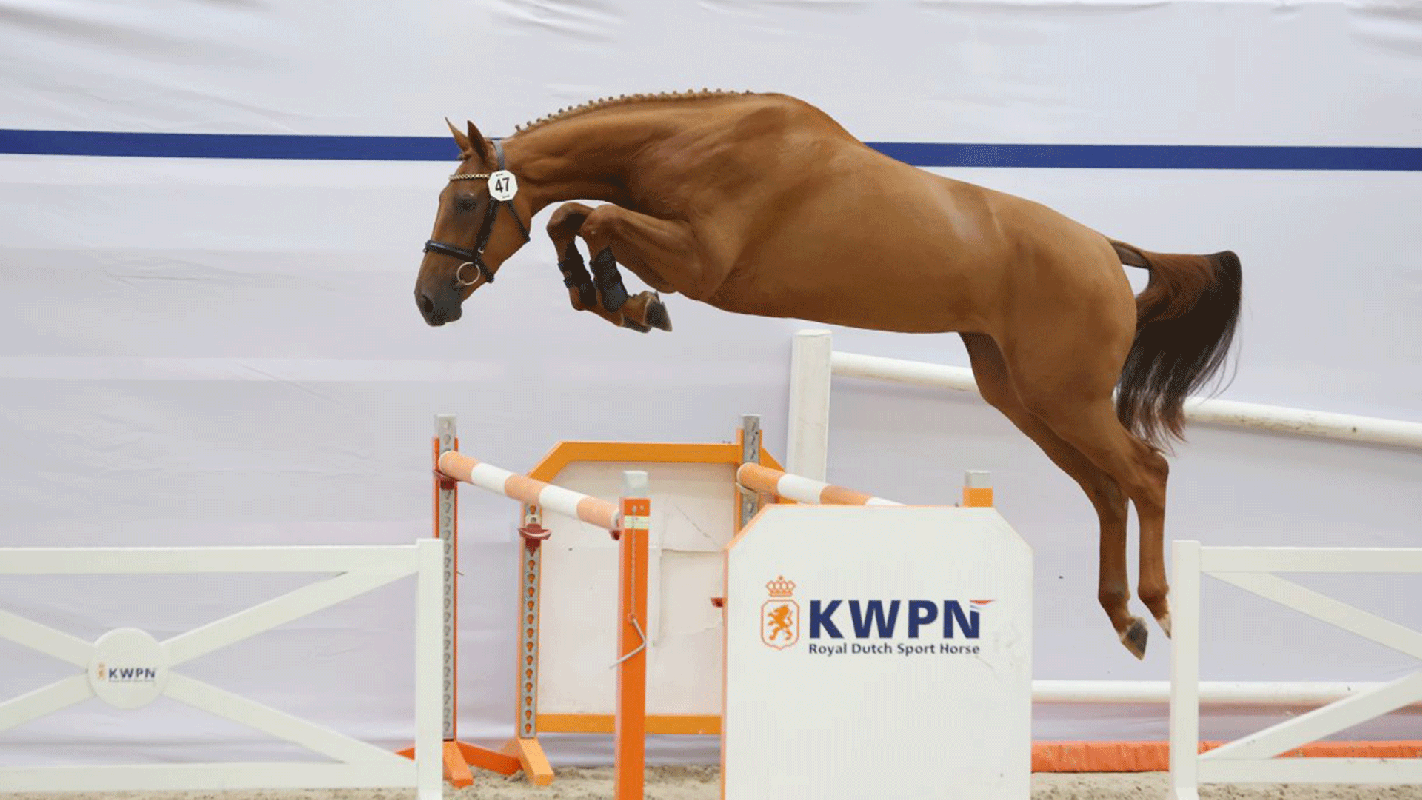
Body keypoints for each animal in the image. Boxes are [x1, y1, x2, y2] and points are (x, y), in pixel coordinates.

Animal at [413, 90, 1241, 659]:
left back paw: (1159, 607)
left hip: (1065, 398)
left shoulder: (701, 264)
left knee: (1146, 473)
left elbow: (593, 216)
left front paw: (625, 299)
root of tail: (1105, 248)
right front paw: (613, 299)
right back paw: (1124, 618)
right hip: (1022, 396)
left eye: (467, 201)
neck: (688, 145)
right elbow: (572, 217)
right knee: (1107, 490)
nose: (429, 302)